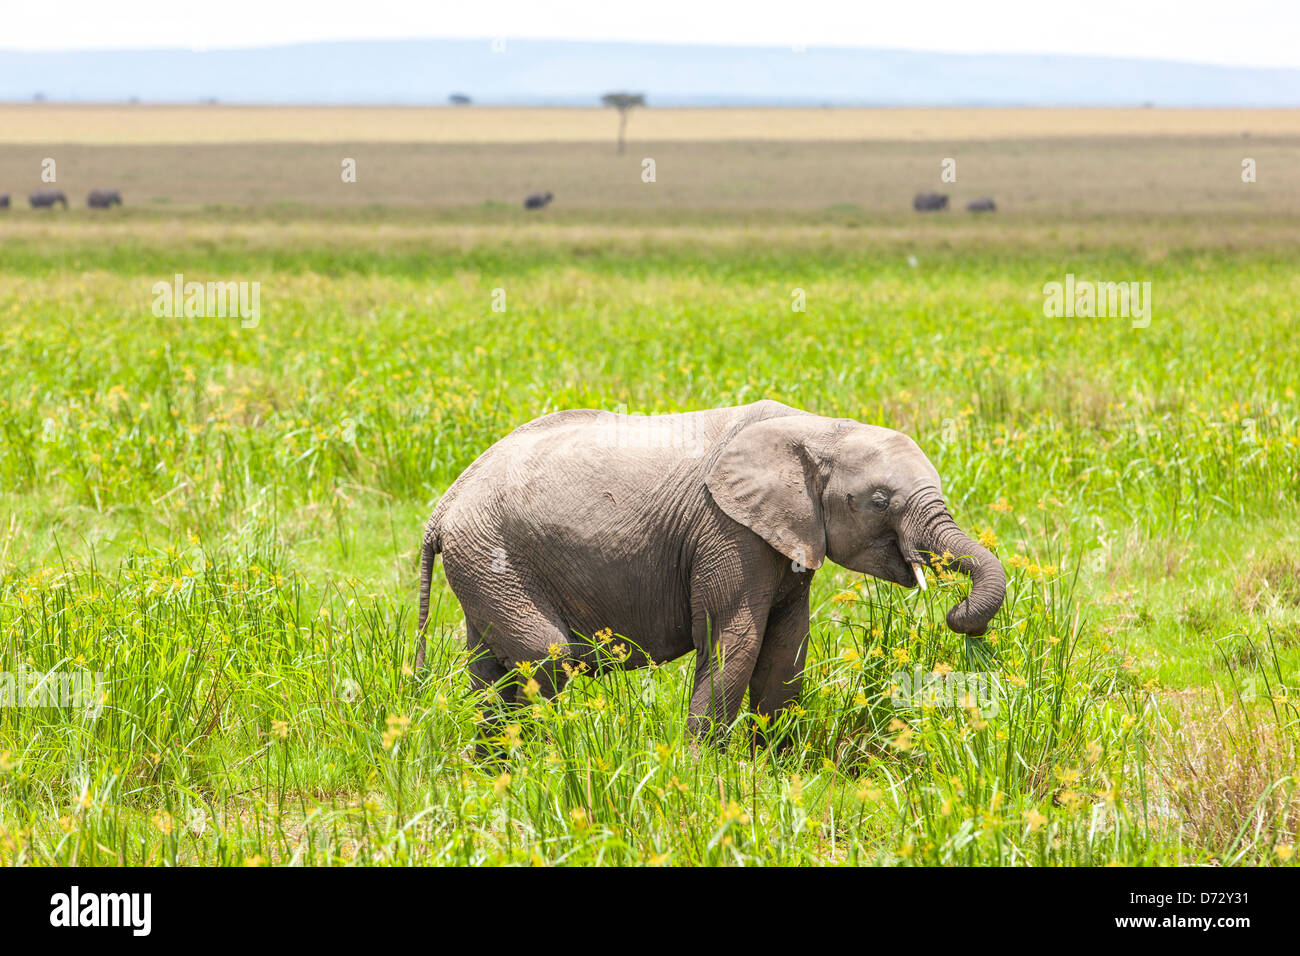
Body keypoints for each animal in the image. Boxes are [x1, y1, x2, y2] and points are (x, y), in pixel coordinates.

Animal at [415, 400, 1006, 751]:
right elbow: (733, 641)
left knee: (489, 668)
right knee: (547, 656)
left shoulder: (784, 535)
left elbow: (786, 647)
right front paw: (700, 769)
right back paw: (545, 759)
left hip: (484, 564)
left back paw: (493, 768)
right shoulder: (728, 530)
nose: (958, 613)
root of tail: (443, 506)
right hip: (492, 553)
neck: (817, 428)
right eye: (880, 500)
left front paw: (771, 768)